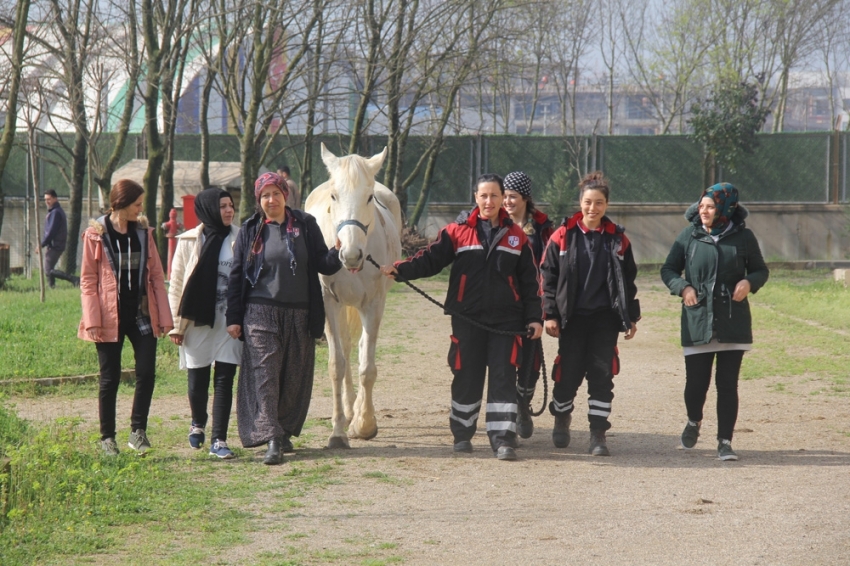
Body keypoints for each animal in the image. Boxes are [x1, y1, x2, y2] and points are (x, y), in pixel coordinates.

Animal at [304, 144, 402, 450]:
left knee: (358, 349)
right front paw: (338, 432)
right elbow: (337, 364)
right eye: (334, 196)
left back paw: (356, 412)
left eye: (369, 197)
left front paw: (365, 424)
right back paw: (347, 411)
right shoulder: (329, 303)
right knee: (346, 349)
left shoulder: (373, 304)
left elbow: (367, 367)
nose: (350, 254)